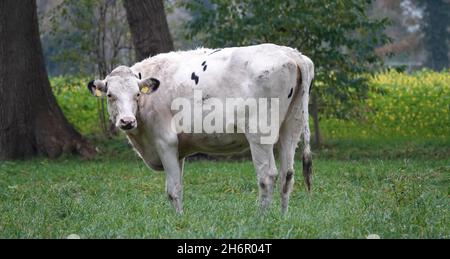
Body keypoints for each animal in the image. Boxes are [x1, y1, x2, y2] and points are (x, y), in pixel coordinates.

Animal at [87, 43, 312, 213]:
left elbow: (172, 190)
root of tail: (291, 52)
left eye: (137, 94)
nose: (127, 121)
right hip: (291, 127)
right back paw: (282, 218)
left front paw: (177, 221)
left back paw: (262, 218)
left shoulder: (165, 141)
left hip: (260, 133)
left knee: (267, 176)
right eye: (110, 95)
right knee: (287, 174)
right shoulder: (178, 150)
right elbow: (178, 187)